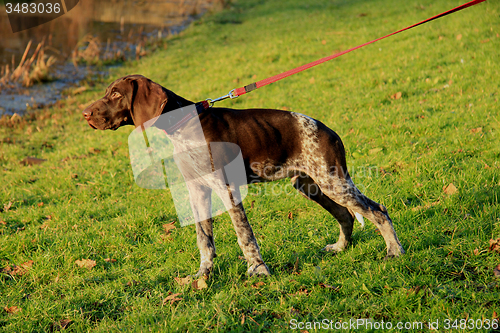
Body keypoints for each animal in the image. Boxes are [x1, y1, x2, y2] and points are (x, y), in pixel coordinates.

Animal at [81, 74, 402, 276]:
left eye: (116, 94)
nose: (84, 114)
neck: (184, 126)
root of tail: (329, 131)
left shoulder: (227, 189)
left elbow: (244, 235)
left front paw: (258, 270)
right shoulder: (197, 191)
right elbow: (204, 239)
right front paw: (204, 274)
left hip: (333, 182)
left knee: (378, 211)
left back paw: (394, 252)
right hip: (311, 186)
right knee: (346, 215)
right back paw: (340, 248)